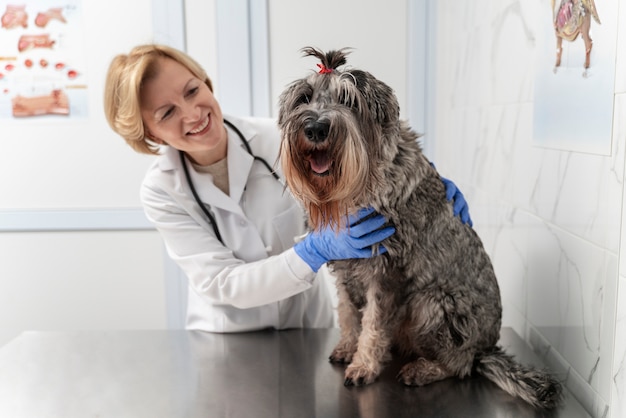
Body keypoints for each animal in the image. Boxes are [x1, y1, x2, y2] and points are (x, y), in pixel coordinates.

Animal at [278, 47, 560, 410]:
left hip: (432, 304)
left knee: (462, 365)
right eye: (304, 98)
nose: (315, 128)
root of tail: (486, 349)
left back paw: (423, 369)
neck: (362, 186)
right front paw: (347, 347)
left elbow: (372, 322)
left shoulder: (385, 273)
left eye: (349, 101)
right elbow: (348, 313)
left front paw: (363, 365)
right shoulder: (344, 266)